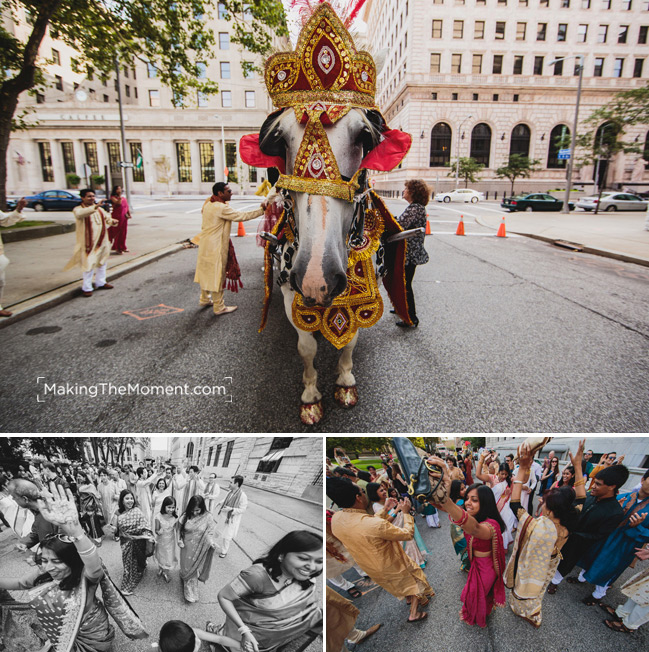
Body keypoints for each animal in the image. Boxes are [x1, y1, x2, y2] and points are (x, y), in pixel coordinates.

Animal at [242, 2, 416, 426]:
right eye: (278, 141)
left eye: (365, 137)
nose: (318, 278)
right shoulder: (291, 290)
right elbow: (306, 347)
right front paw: (310, 397)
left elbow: (350, 338)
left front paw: (345, 383)